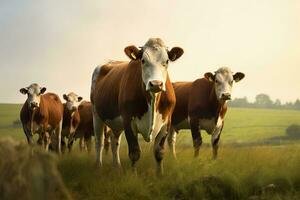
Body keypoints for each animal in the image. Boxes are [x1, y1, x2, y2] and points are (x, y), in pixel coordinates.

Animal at [89, 37, 183, 175]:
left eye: (166, 61)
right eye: (143, 60)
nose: (156, 84)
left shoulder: (166, 123)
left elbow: (159, 152)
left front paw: (160, 175)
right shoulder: (128, 121)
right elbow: (134, 152)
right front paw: (133, 176)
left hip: (116, 122)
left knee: (114, 141)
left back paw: (117, 167)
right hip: (96, 114)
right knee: (99, 142)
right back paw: (98, 167)